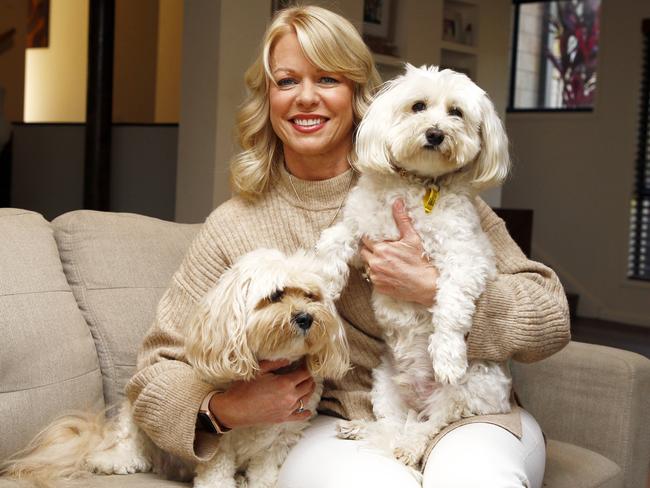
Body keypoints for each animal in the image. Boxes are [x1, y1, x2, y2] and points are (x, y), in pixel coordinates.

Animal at [1, 250, 350, 486]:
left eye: (311, 295)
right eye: (276, 295)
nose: (306, 317)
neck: (273, 367)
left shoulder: (278, 441)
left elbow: (263, 475)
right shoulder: (219, 443)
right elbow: (216, 474)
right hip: (136, 413)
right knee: (126, 443)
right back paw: (112, 460)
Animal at [316, 66, 512, 468]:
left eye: (456, 112)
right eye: (418, 106)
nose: (435, 133)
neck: (419, 187)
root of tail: (419, 399)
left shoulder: (466, 260)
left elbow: (451, 304)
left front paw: (447, 354)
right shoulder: (364, 234)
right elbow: (333, 241)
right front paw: (324, 283)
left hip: (467, 391)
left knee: (429, 427)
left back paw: (409, 446)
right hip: (384, 384)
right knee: (390, 424)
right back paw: (361, 428)